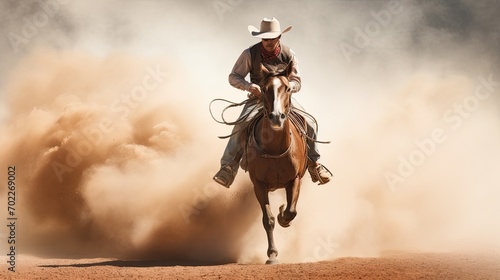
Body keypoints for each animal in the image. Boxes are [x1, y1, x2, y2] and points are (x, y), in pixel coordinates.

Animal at [243, 63, 308, 264]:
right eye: (264, 89)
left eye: (287, 88)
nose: (276, 117)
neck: (274, 150)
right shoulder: (259, 184)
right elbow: (268, 220)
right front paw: (272, 254)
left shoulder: (295, 179)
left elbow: (291, 211)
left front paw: (283, 218)